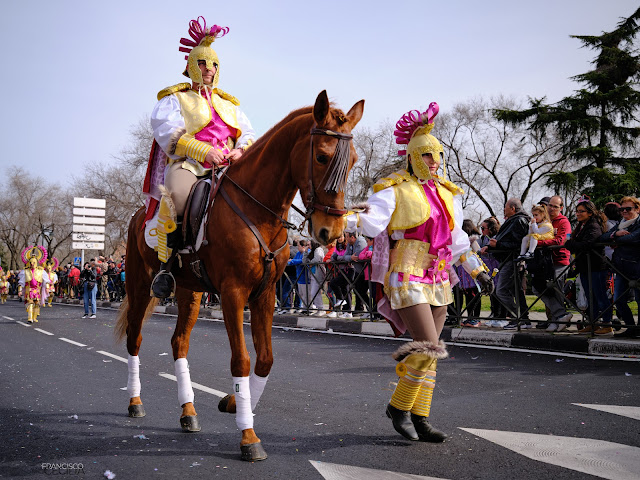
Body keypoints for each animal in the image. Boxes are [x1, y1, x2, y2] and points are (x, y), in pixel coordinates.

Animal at [115, 91, 364, 462]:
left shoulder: (265, 294)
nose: (330, 232)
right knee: (135, 339)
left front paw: (234, 403)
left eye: (353, 161)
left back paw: (188, 412)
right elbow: (242, 360)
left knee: (179, 343)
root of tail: (140, 213)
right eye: (321, 156)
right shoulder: (234, 293)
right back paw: (135, 402)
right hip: (140, 285)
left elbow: (265, 360)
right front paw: (248, 436)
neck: (258, 212)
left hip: (190, 292)